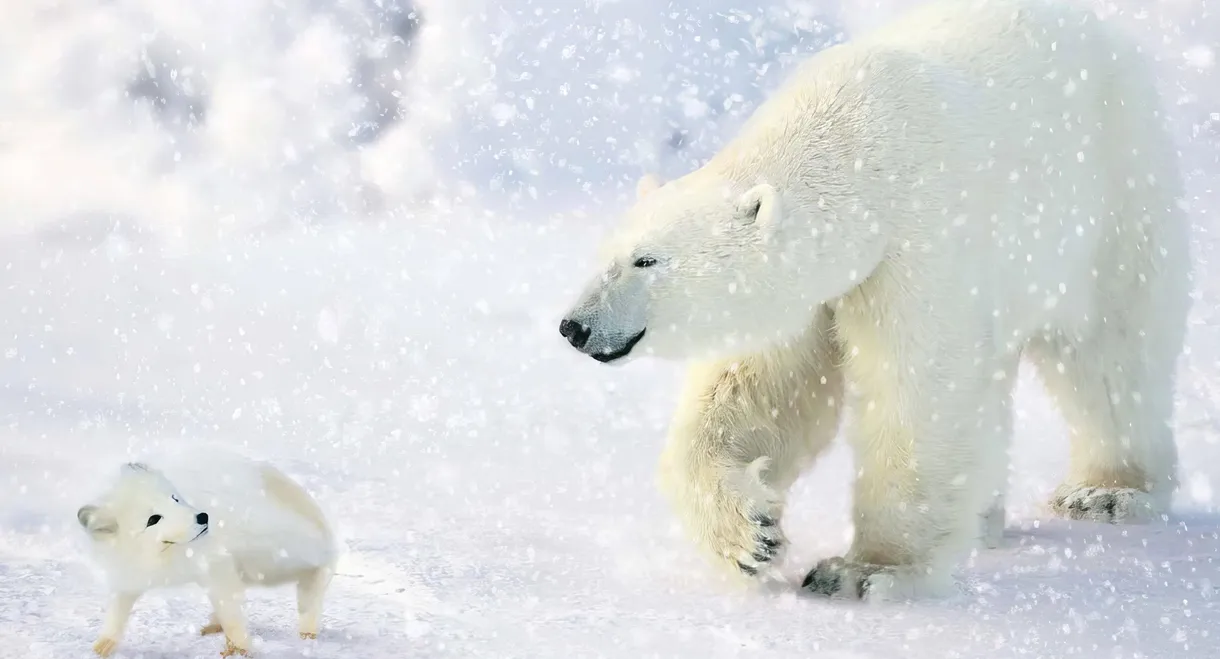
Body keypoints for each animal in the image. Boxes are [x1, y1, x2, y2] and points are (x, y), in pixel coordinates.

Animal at [559, 0, 1190, 601]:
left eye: (646, 261)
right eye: (605, 254)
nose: (574, 326)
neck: (858, 149)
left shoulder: (920, 243)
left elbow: (918, 390)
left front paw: (864, 572)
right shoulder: (813, 296)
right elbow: (762, 393)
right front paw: (751, 534)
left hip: (1111, 200)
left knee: (1110, 356)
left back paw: (1105, 491)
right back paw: (986, 521)